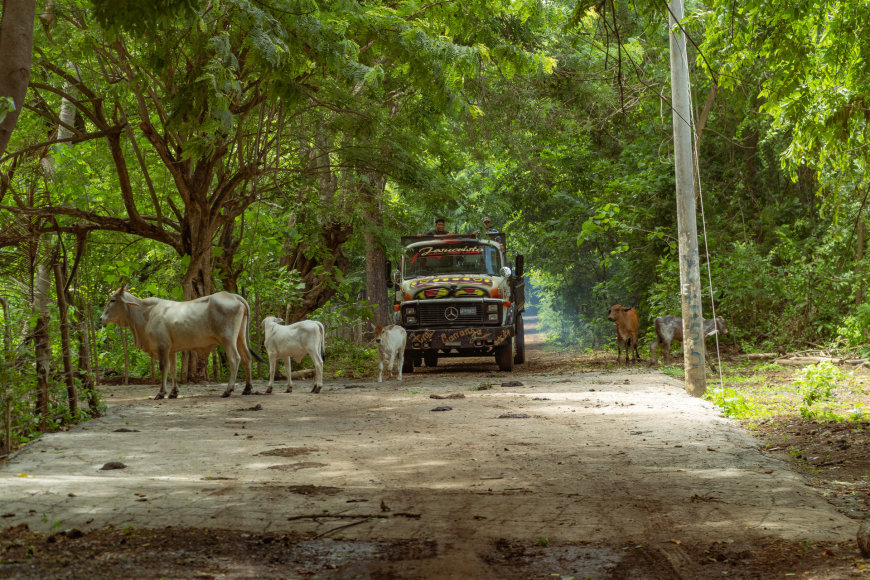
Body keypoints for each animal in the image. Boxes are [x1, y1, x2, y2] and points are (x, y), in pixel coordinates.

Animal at [99, 284, 262, 398]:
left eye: (112, 300)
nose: (101, 318)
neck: (146, 314)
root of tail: (232, 295)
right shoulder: (171, 350)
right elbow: (173, 369)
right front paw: (173, 392)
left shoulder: (162, 346)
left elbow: (164, 367)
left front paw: (161, 393)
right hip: (240, 337)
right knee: (247, 358)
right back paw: (247, 389)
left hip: (228, 339)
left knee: (235, 359)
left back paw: (228, 390)